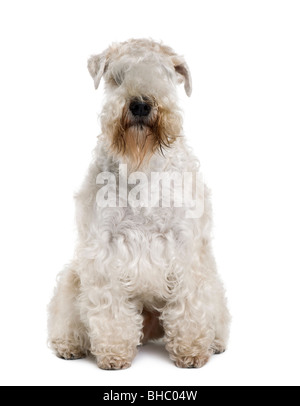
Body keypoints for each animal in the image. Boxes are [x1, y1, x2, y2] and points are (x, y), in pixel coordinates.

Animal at [48, 39, 231, 370]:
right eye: (118, 76)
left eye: (164, 73)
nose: (141, 104)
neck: (141, 166)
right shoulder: (104, 249)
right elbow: (110, 309)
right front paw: (113, 353)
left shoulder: (187, 248)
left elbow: (190, 303)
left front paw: (192, 350)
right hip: (72, 279)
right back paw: (69, 345)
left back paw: (215, 341)